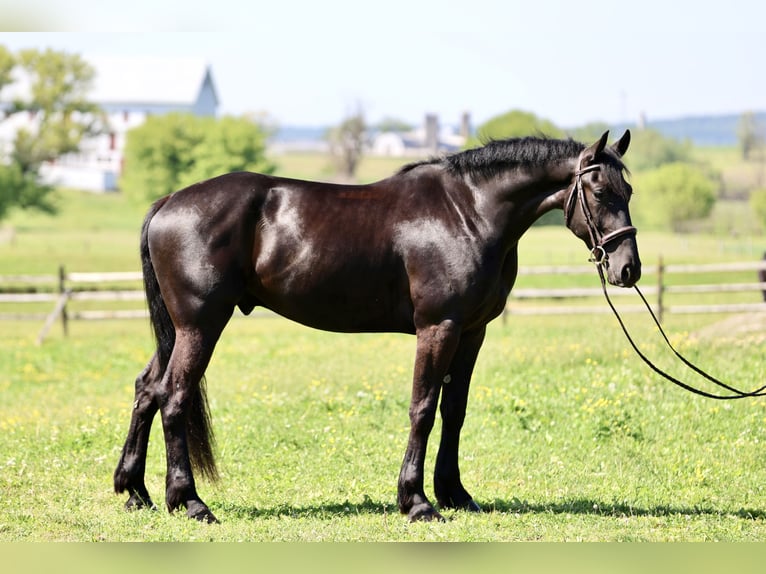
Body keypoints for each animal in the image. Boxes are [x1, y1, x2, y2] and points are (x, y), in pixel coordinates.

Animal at [113, 130, 640, 523]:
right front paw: (417, 502)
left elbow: (454, 411)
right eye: (599, 192)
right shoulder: (439, 327)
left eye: (629, 191)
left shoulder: (472, 332)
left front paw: (455, 493)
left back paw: (135, 490)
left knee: (147, 388)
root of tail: (169, 202)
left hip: (179, 329)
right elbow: (423, 409)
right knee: (174, 397)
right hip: (201, 325)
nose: (628, 268)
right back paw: (190, 502)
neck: (469, 211)